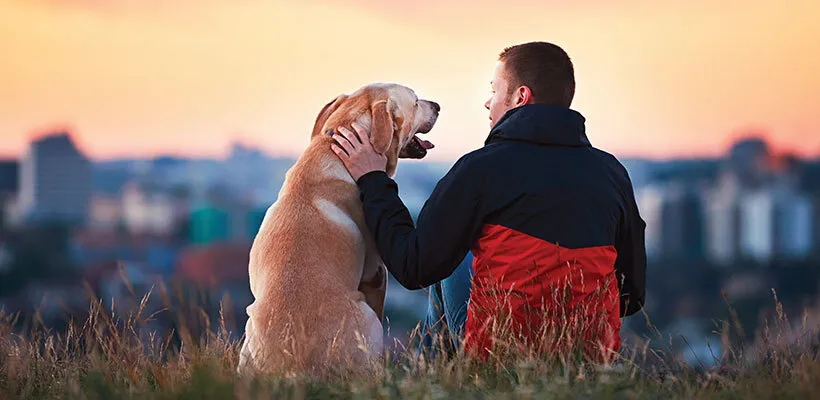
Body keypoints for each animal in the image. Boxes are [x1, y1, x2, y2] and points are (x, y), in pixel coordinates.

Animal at [237, 83, 438, 376]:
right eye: (414, 101)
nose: (438, 106)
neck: (333, 150)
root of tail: (294, 368)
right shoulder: (376, 272)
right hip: (367, 319)